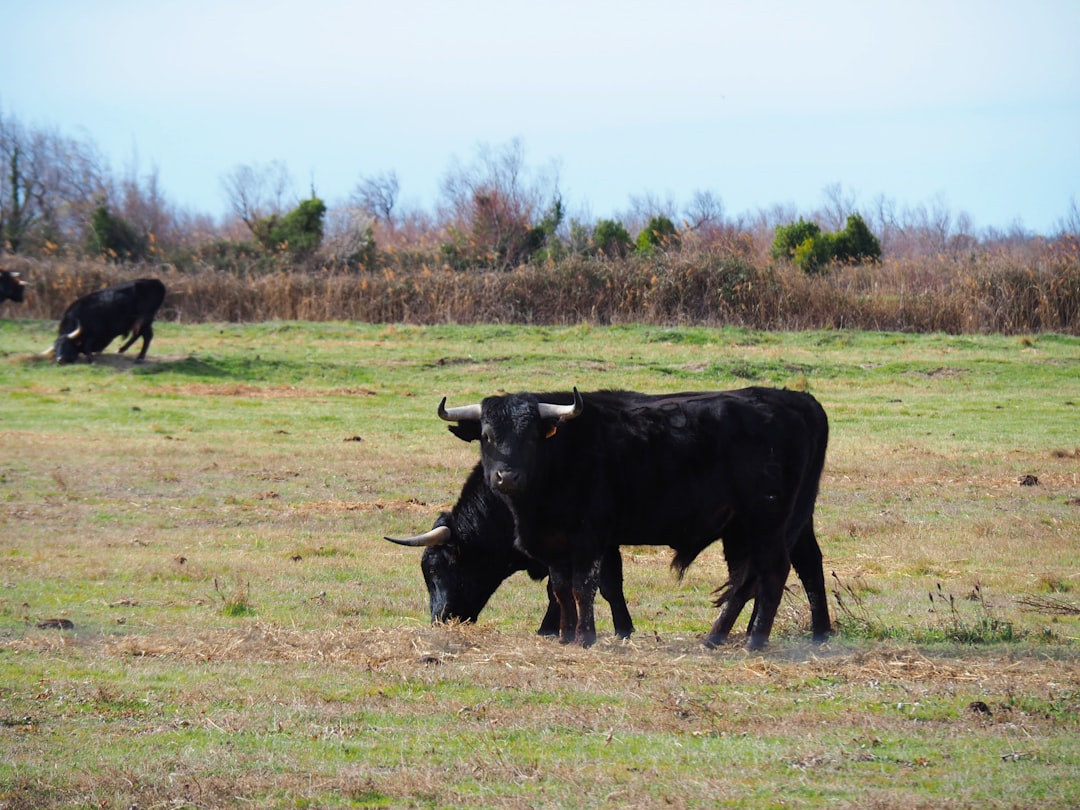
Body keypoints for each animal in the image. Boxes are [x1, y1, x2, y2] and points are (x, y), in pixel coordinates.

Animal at [438, 388, 833, 652]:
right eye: (486, 435)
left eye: (532, 436)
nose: (506, 477)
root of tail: (797, 401)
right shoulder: (557, 544)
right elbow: (564, 589)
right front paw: (566, 635)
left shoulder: (590, 538)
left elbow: (585, 587)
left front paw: (586, 636)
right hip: (753, 528)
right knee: (761, 575)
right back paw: (725, 636)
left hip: (767, 523)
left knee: (772, 573)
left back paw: (755, 640)